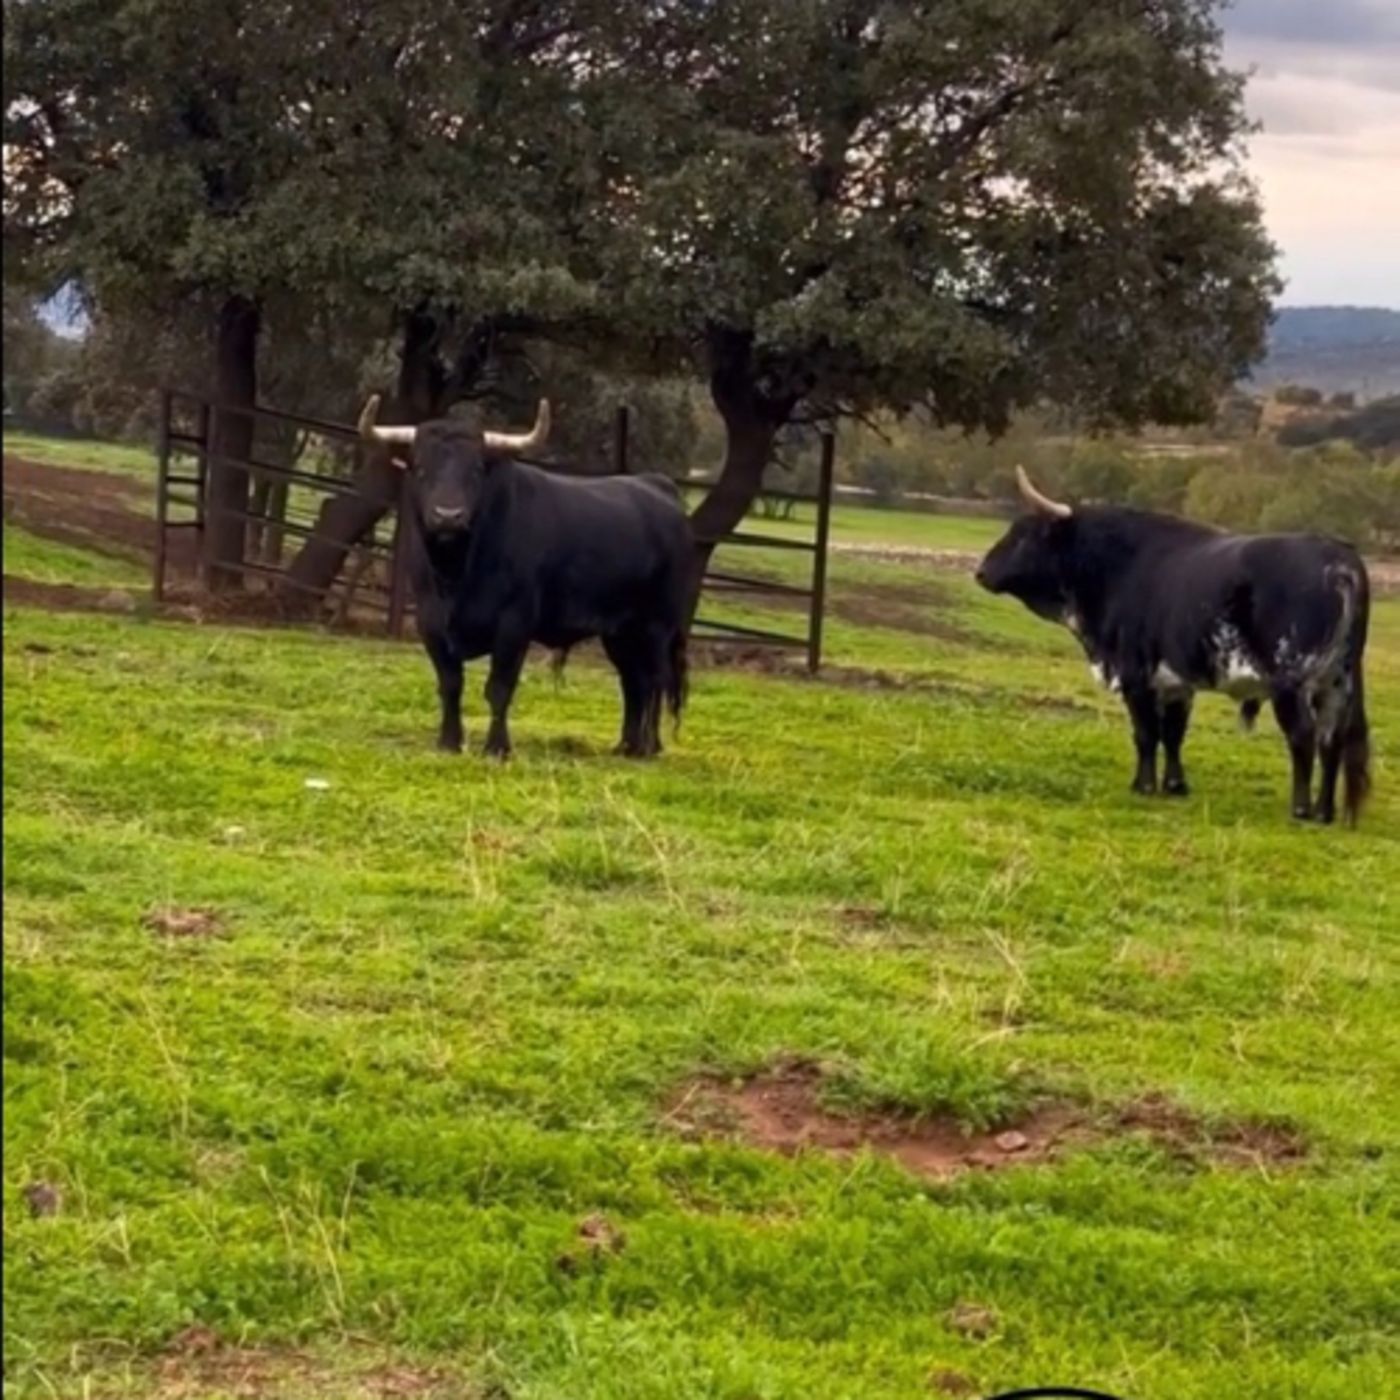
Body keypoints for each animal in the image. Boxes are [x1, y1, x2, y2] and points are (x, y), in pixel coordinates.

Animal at [359, 395, 692, 759]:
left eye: (476, 470)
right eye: (420, 468)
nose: (448, 516)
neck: (457, 573)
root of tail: (656, 485)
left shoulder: (514, 624)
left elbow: (499, 688)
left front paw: (497, 748)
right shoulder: (430, 623)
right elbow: (450, 684)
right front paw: (449, 741)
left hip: (657, 626)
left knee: (655, 679)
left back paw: (648, 745)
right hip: (619, 631)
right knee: (633, 681)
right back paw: (626, 745)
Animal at [975, 468, 1371, 824]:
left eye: (1023, 535)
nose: (980, 572)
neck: (1116, 566)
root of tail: (1340, 560)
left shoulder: (1135, 677)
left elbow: (1146, 734)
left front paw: (1144, 785)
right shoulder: (1177, 683)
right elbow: (1174, 734)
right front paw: (1175, 785)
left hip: (1290, 681)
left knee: (1303, 735)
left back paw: (1301, 808)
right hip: (1336, 682)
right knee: (1331, 739)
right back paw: (1324, 811)